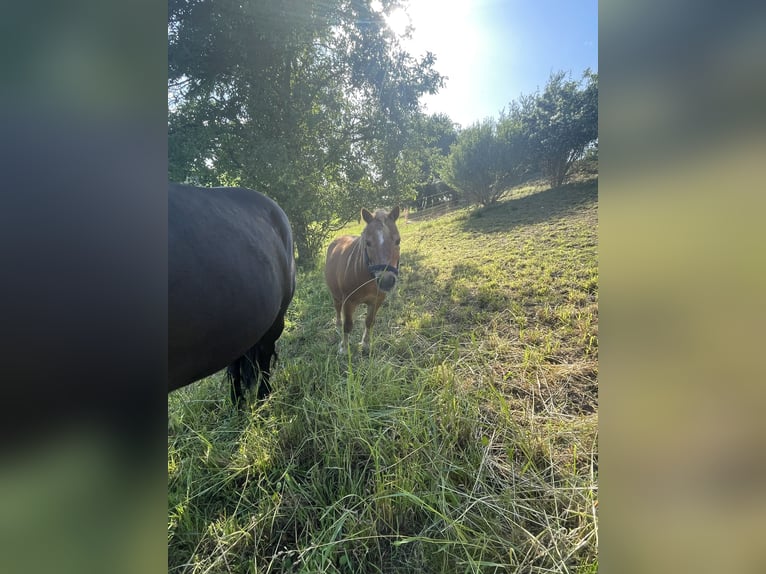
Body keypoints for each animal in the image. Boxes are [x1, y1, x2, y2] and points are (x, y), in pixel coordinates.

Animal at [324, 206, 401, 354]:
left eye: (398, 241)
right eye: (368, 243)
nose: (386, 280)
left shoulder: (376, 301)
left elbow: (369, 321)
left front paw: (365, 344)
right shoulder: (348, 302)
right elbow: (348, 325)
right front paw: (344, 348)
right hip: (335, 294)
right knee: (337, 308)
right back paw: (337, 325)